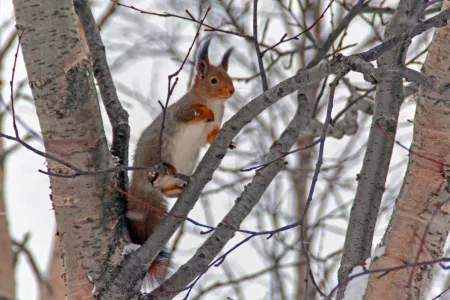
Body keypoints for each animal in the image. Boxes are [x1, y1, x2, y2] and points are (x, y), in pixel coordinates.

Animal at [125, 39, 234, 286]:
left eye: (230, 77)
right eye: (213, 80)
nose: (232, 91)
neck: (214, 102)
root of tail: (139, 184)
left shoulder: (211, 129)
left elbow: (210, 136)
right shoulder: (180, 111)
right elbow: (190, 112)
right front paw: (203, 112)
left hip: (189, 162)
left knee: (164, 191)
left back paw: (178, 188)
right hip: (162, 147)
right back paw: (167, 171)